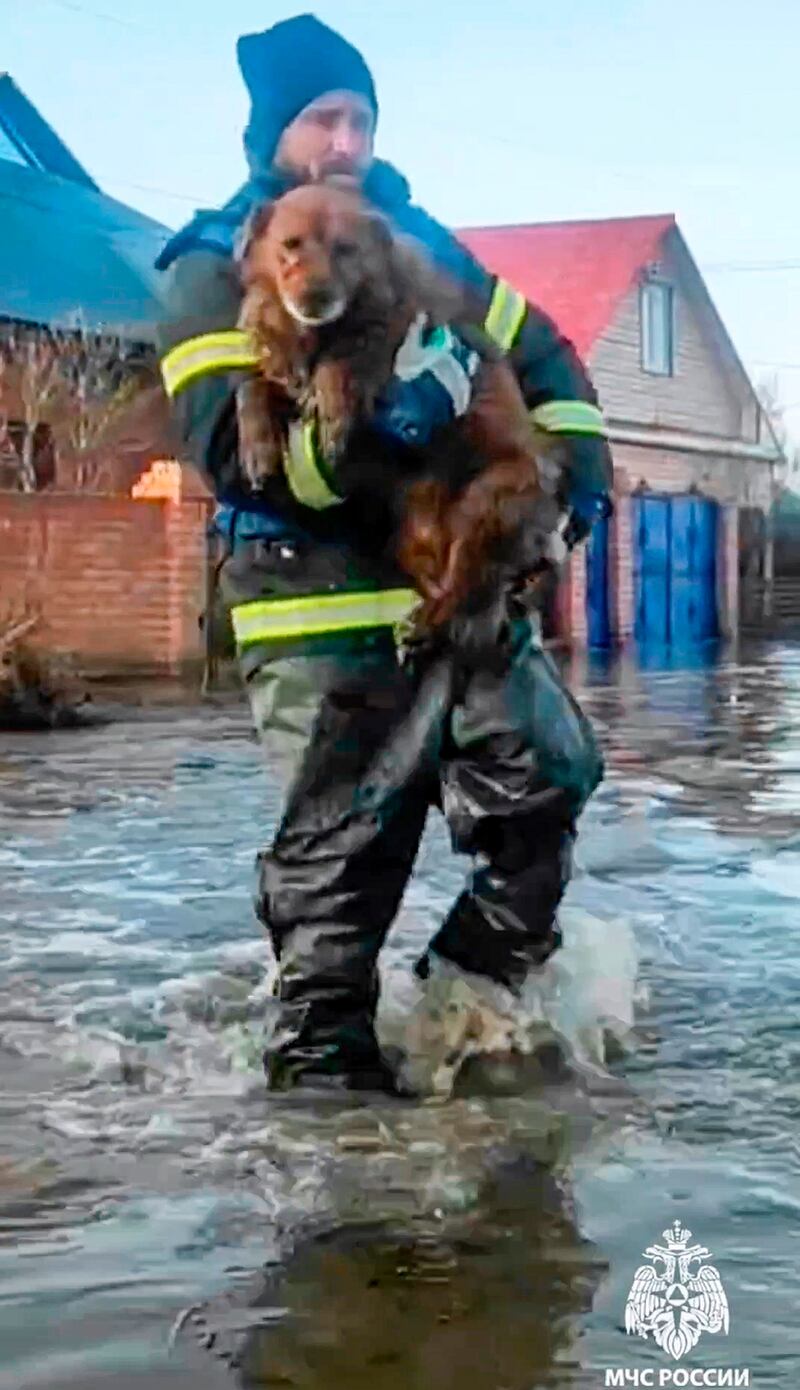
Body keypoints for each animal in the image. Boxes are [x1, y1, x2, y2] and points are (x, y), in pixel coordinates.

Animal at [233, 179, 555, 631]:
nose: (315, 298)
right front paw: (257, 446)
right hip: (408, 529)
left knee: (467, 581)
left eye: (346, 249)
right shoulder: (280, 375)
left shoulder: (391, 334)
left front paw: (332, 402)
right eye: (290, 244)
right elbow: (254, 388)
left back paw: (435, 620)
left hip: (485, 502)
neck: (320, 334)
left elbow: (350, 357)